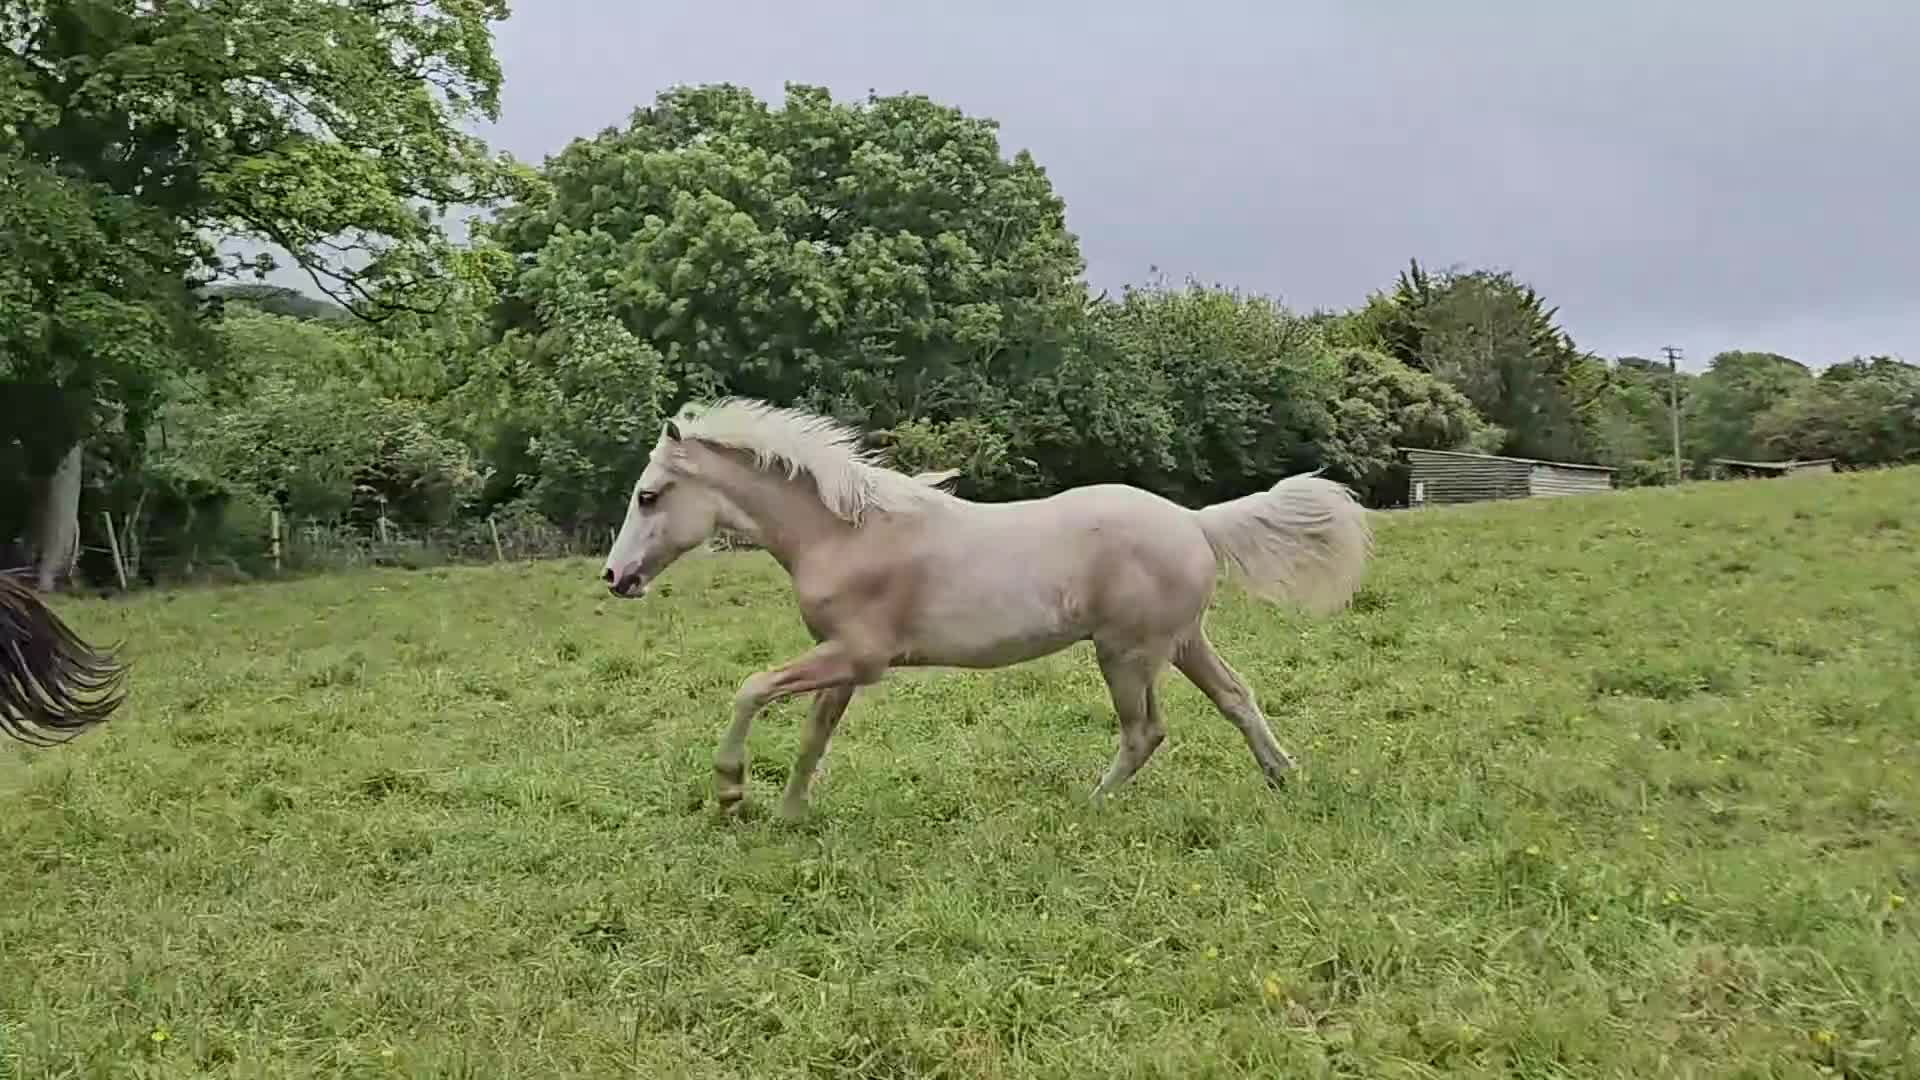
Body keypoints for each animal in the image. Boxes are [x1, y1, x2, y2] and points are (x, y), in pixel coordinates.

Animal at [599, 398, 1373, 818]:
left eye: (648, 496)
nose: (614, 577)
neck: (846, 534)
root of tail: (1196, 521)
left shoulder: (857, 656)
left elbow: (753, 688)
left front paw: (731, 791)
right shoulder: (842, 662)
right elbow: (814, 737)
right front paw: (789, 817)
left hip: (1124, 653)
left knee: (1145, 732)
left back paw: (1088, 807)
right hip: (1182, 642)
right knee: (1236, 698)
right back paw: (1285, 777)